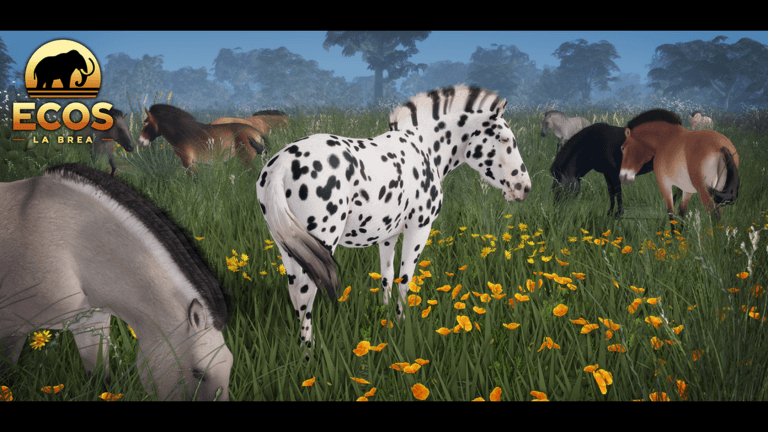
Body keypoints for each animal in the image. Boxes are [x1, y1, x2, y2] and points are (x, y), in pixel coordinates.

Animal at [0, 163, 233, 400]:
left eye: (231, 365)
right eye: (198, 373)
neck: (68, 252)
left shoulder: (89, 326)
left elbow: (100, 382)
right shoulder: (11, 329)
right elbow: (6, 382)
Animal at [139, 104, 267, 175]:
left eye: (146, 124)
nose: (140, 142)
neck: (183, 133)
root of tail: (255, 131)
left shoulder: (187, 161)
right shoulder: (193, 162)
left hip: (246, 158)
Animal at [257, 84, 532, 357]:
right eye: (504, 139)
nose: (524, 188)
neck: (425, 146)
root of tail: (280, 166)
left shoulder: (387, 236)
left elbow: (387, 277)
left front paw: (386, 320)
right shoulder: (419, 228)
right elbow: (405, 279)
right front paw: (403, 325)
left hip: (289, 247)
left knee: (296, 292)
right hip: (322, 240)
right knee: (306, 292)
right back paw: (309, 354)